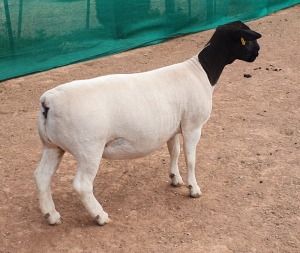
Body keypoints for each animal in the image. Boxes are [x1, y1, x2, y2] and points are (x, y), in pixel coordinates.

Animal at [34, 20, 262, 225]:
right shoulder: (192, 126)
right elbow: (190, 158)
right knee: (82, 185)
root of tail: (48, 101)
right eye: (248, 39)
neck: (202, 71)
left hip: (52, 146)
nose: (258, 52)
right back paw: (100, 216)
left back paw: (51, 216)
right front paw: (194, 189)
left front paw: (175, 179)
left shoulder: (173, 128)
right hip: (89, 148)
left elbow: (174, 152)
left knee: (42, 176)